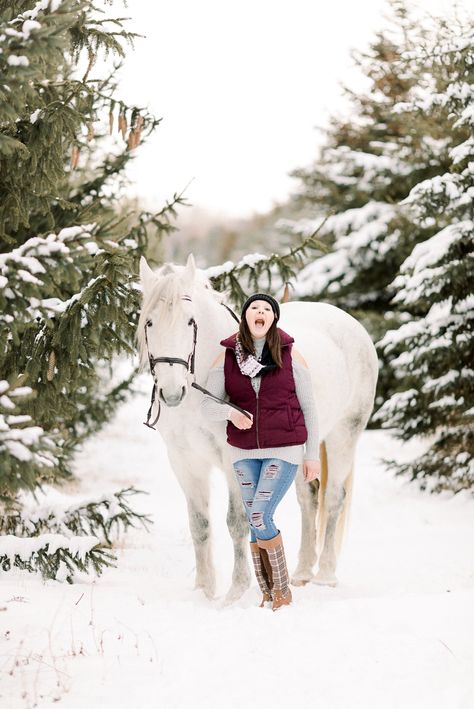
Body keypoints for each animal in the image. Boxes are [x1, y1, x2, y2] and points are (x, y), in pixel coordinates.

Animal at [136, 254, 378, 596]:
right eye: (149, 323)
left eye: (190, 322)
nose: (172, 392)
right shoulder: (184, 461)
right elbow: (199, 525)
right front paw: (203, 591)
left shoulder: (231, 459)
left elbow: (237, 521)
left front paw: (236, 592)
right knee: (308, 497)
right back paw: (302, 572)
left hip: (344, 434)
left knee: (333, 499)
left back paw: (325, 575)